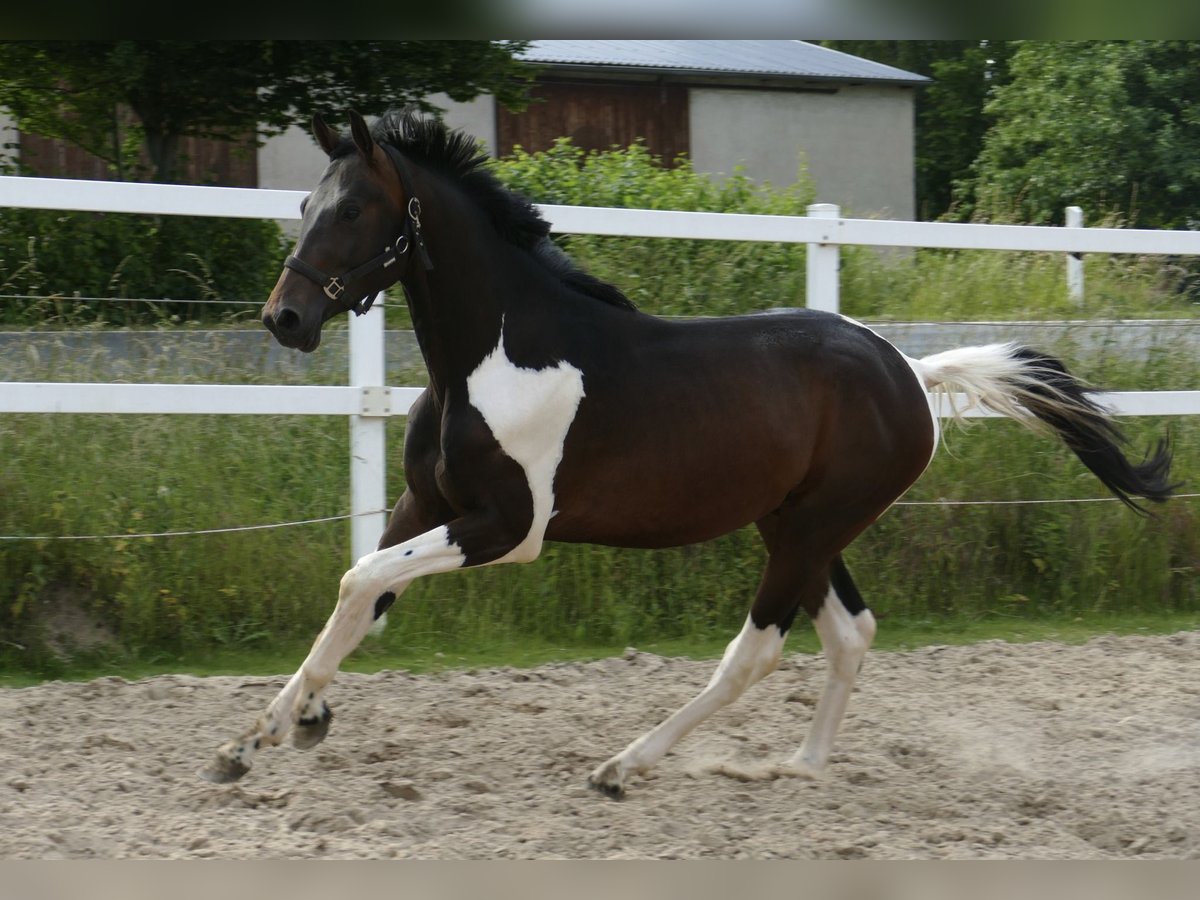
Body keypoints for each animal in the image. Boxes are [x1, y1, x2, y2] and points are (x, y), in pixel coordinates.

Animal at [202, 108, 1175, 797]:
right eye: (302, 205)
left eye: (353, 207)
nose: (284, 319)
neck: (495, 356)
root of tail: (910, 371)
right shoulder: (426, 506)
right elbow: (365, 594)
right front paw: (264, 736)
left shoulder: (507, 527)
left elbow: (358, 581)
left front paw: (278, 729)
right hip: (800, 528)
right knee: (850, 633)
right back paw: (796, 767)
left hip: (807, 531)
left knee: (759, 650)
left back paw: (623, 766)